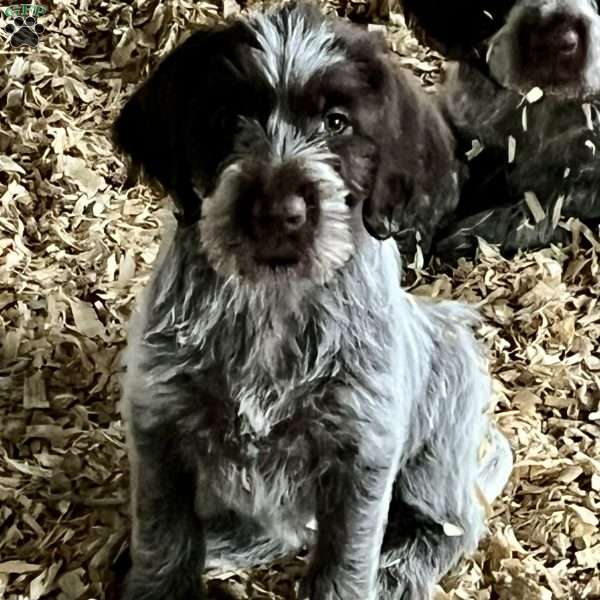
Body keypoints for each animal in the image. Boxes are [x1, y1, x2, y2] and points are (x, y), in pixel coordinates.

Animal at [112, 2, 510, 596]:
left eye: (337, 123)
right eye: (228, 118)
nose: (281, 213)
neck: (272, 302)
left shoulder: (361, 453)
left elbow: (344, 563)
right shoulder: (159, 424)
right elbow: (165, 542)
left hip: (439, 441)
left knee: (452, 524)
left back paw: (398, 571)